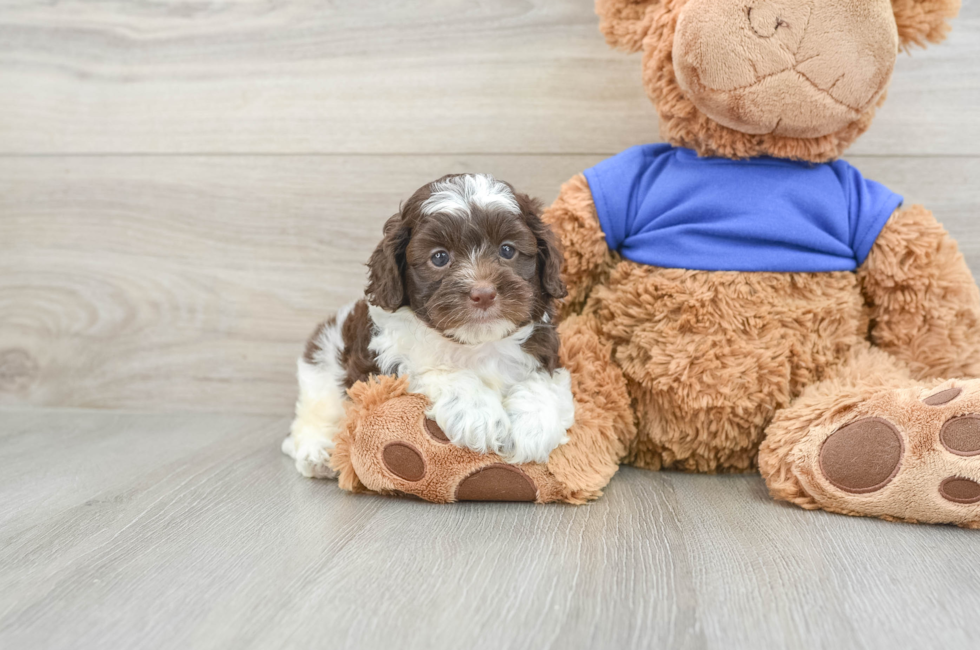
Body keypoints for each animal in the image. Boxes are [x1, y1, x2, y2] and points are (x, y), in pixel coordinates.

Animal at [282, 172, 576, 476]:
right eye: (439, 257)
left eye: (507, 250)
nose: (483, 293)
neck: (476, 343)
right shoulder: (386, 364)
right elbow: (436, 370)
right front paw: (477, 412)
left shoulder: (544, 352)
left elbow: (544, 382)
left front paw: (534, 426)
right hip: (323, 368)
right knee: (315, 413)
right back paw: (317, 453)